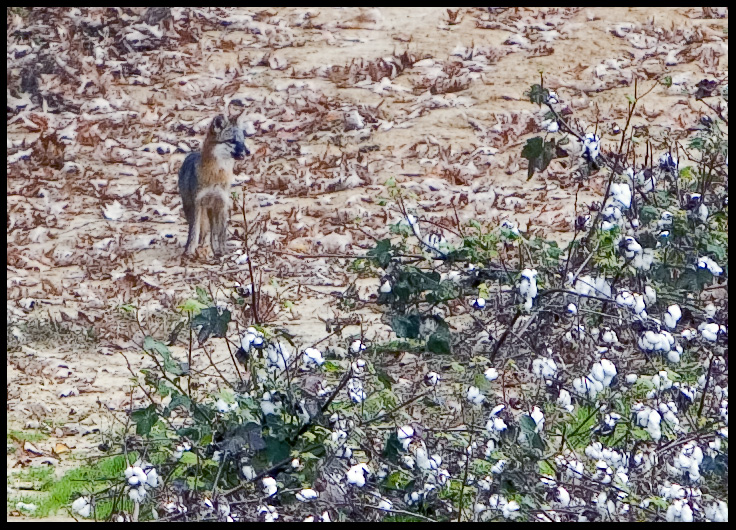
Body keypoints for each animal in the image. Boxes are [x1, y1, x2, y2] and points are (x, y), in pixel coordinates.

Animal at [178, 115, 249, 257]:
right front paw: (190, 250)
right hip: (191, 208)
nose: (247, 152)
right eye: (231, 140)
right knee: (196, 229)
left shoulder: (222, 204)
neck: (216, 175)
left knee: (212, 232)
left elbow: (221, 234)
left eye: (242, 140)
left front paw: (222, 251)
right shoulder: (197, 204)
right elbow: (194, 232)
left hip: (212, 210)